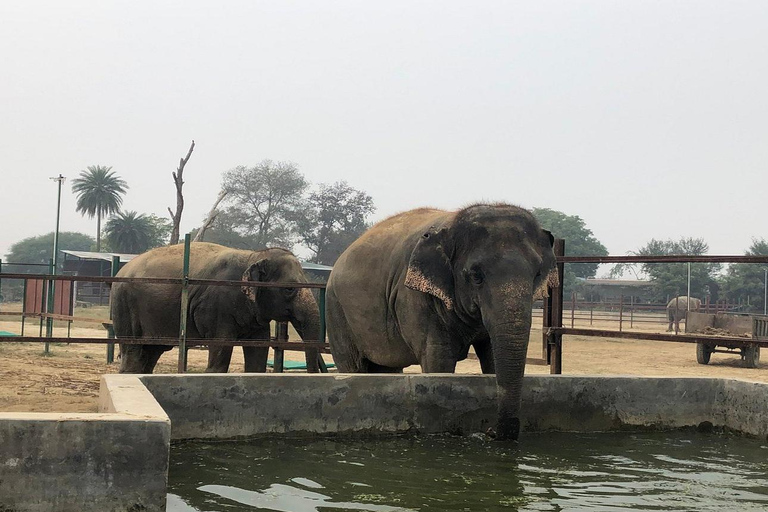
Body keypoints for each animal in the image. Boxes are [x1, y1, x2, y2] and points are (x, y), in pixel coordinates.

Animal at [111, 242, 320, 374]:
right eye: (289, 289)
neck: (253, 255)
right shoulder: (216, 307)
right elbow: (220, 349)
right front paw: (212, 372)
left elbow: (258, 354)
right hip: (124, 307)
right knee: (133, 351)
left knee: (151, 352)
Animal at [326, 204, 560, 440]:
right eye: (476, 276)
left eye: (537, 274)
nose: (491, 431)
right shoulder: (414, 297)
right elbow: (438, 359)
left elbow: (491, 355)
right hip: (337, 312)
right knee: (354, 365)